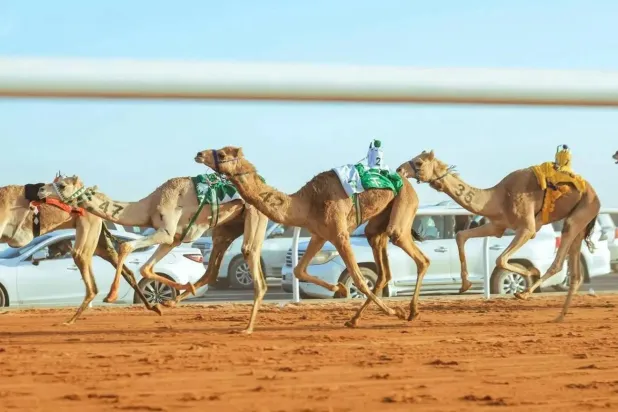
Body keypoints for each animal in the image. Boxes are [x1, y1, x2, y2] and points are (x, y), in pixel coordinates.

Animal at [0, 182, 159, 324]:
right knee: (124, 270)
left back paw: (71, 320)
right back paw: (153, 307)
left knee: (91, 283)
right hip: (98, 241)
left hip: (87, 231)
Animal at [38, 175, 270, 334]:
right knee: (212, 269)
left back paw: (248, 328)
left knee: (251, 256)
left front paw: (111, 295)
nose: (40, 191)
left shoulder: (165, 232)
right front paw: (178, 292)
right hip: (226, 228)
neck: (149, 206)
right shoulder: (173, 238)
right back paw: (173, 301)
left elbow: (126, 247)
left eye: (62, 185)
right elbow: (145, 268)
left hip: (255, 213)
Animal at [192, 146, 428, 326]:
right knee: (383, 266)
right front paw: (339, 287)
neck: (305, 203)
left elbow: (359, 279)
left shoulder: (340, 234)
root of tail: (405, 180)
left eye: (222, 154)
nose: (199, 154)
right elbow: (299, 270)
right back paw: (355, 319)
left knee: (418, 257)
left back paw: (410, 312)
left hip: (404, 204)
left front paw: (395, 312)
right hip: (379, 221)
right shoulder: (319, 235)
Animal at [398, 146, 600, 324]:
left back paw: (525, 294)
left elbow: (500, 259)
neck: (499, 198)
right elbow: (461, 235)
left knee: (558, 263)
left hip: (579, 215)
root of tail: (594, 194)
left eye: (419, 162)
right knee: (576, 274)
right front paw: (465, 285)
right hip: (579, 225)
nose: (400, 169)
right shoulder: (497, 226)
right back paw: (559, 317)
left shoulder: (528, 229)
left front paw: (530, 273)